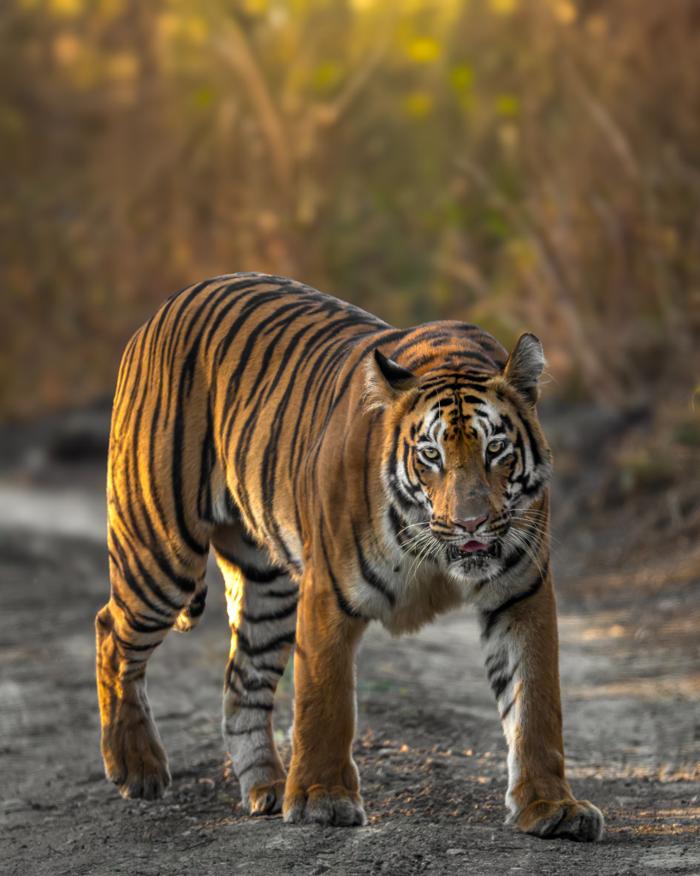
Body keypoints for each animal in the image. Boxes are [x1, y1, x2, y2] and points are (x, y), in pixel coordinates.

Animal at [95, 272, 604, 841]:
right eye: (431, 455)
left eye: (496, 449)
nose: (470, 523)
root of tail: (169, 304)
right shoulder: (328, 592)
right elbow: (325, 699)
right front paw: (321, 798)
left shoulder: (520, 593)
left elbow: (535, 703)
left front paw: (551, 807)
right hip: (161, 552)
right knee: (111, 631)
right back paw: (136, 766)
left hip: (267, 587)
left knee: (241, 682)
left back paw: (267, 787)